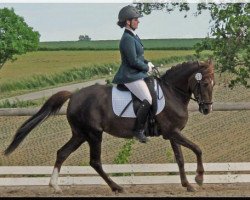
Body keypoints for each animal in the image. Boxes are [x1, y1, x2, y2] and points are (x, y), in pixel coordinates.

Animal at [3, 59, 215, 192]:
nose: (207, 109)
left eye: (213, 83)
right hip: (94, 134)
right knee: (95, 162)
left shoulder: (172, 133)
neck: (172, 93)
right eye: (204, 83)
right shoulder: (172, 132)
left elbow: (180, 159)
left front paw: (188, 185)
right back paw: (117, 187)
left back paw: (55, 186)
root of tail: (74, 95)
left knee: (62, 153)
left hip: (80, 134)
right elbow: (198, 149)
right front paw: (199, 178)